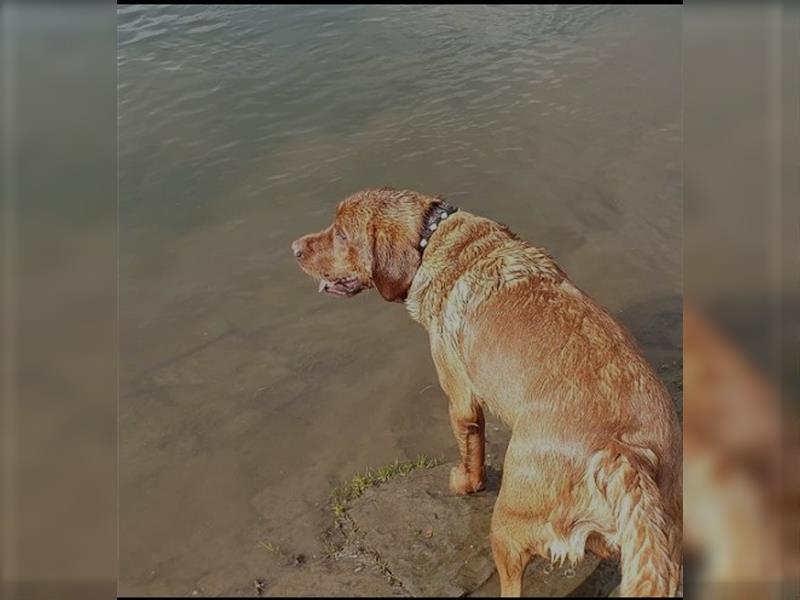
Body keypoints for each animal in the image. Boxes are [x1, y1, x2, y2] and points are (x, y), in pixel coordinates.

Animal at [294, 188, 680, 596]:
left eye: (340, 234)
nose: (293, 248)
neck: (433, 237)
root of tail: (623, 454)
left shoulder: (461, 398)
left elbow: (472, 454)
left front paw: (465, 483)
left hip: (507, 524)